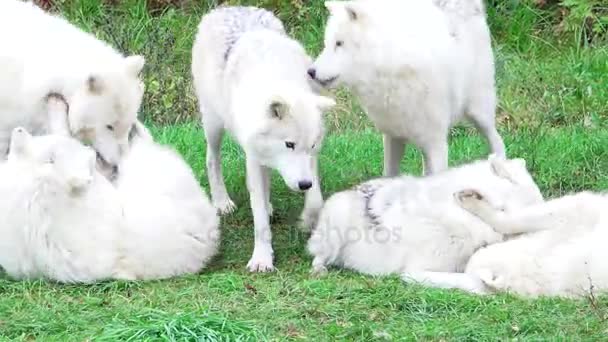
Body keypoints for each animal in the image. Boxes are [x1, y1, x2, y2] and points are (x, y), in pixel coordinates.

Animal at [194, 6, 338, 272]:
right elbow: (259, 218)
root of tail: (226, 8)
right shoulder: (252, 157)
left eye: (312, 145)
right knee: (211, 159)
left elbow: (315, 200)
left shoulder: (310, 160)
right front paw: (262, 259)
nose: (304, 184)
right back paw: (222, 202)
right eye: (289, 144)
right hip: (213, 123)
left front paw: (308, 220)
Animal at [308, 0, 504, 176]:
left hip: (479, 114)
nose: (310, 71)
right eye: (327, 44)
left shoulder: (437, 142)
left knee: (498, 140)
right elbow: (389, 175)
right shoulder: (393, 136)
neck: (390, 65)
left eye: (339, 43)